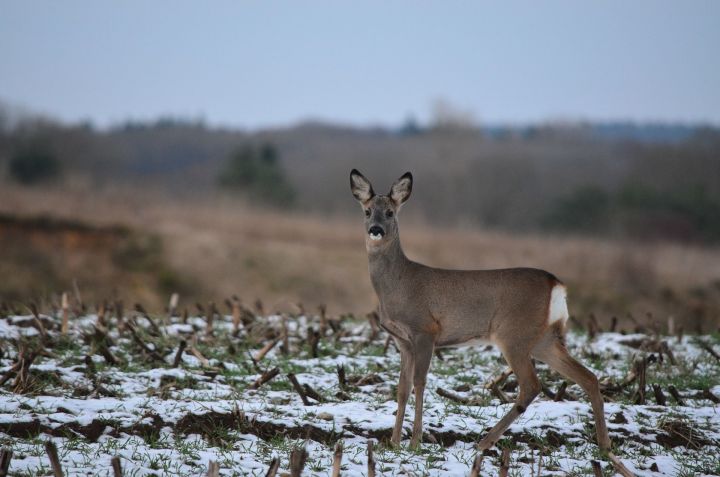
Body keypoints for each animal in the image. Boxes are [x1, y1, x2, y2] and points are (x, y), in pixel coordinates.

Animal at [352, 169, 632, 474]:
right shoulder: (402, 340)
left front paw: (414, 443)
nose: (375, 229)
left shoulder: (425, 330)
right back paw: (605, 447)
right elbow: (402, 388)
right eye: (367, 211)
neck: (398, 284)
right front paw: (392, 442)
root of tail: (556, 284)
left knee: (532, 385)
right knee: (588, 377)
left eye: (390, 212)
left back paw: (484, 442)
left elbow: (419, 383)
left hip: (513, 335)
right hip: (543, 339)